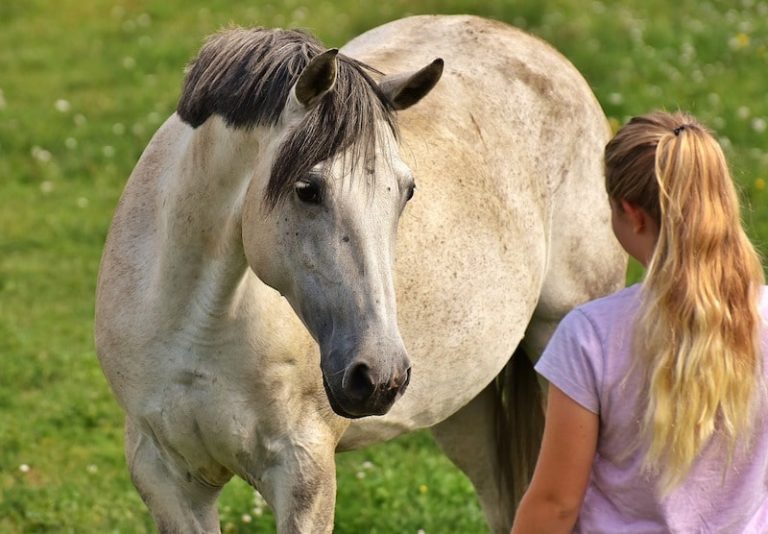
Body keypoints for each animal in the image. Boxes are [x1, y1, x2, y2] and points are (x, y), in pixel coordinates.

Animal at [95, 14, 625, 533]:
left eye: (407, 191)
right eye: (307, 189)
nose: (379, 376)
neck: (197, 324)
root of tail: (533, 46)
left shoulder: (304, 473)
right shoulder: (166, 477)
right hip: (464, 408)